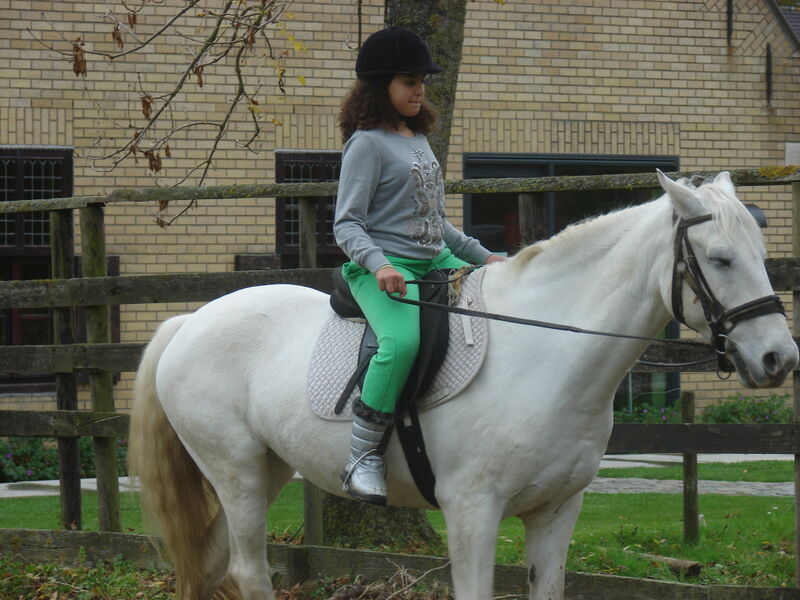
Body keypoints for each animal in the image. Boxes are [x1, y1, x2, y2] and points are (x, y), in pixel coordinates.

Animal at [128, 170, 798, 600]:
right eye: (720, 259)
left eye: (760, 252)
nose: (779, 358)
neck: (547, 354)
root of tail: (191, 320)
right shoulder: (472, 513)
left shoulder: (556, 513)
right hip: (236, 472)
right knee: (249, 571)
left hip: (265, 472)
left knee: (215, 563)